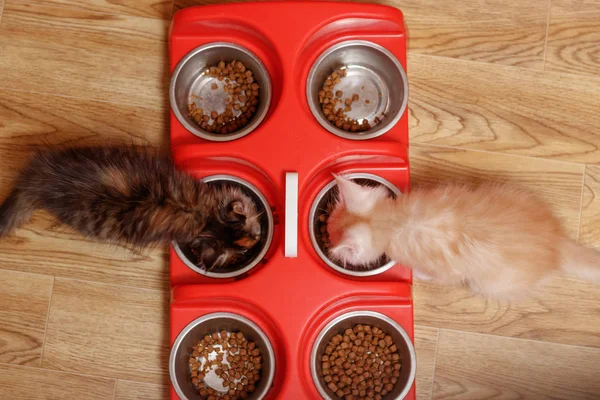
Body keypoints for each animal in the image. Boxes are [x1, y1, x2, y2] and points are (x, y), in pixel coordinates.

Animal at [328, 176, 600, 300]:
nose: (329, 241)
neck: (393, 221)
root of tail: (557, 241)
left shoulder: (450, 270)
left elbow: (441, 277)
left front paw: (420, 274)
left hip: (491, 284)